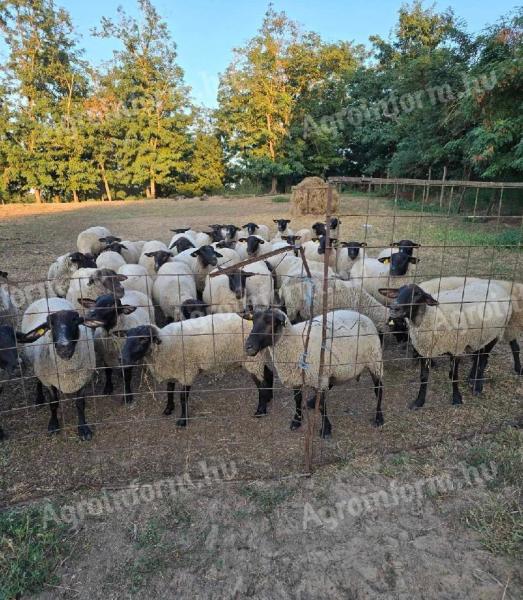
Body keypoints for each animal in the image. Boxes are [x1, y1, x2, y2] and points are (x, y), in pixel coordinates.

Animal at [19, 296, 97, 440]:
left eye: (75, 321)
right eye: (50, 325)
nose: (64, 347)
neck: (67, 370)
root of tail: (48, 297)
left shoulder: (83, 379)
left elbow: (80, 404)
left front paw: (83, 428)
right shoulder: (49, 382)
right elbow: (54, 403)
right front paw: (54, 424)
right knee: (37, 379)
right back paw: (39, 399)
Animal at [119, 314, 274, 426]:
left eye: (143, 339)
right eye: (126, 337)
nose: (122, 358)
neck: (165, 344)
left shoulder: (187, 372)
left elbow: (182, 397)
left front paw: (183, 420)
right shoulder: (171, 370)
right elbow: (169, 390)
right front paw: (168, 408)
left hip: (252, 361)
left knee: (262, 384)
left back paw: (261, 410)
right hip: (258, 358)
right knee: (269, 373)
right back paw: (269, 398)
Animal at [244, 310, 382, 436]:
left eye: (271, 322)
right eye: (253, 321)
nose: (248, 346)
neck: (295, 342)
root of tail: (362, 315)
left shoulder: (318, 378)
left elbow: (321, 405)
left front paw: (326, 429)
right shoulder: (296, 377)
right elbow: (297, 399)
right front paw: (296, 421)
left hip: (375, 360)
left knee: (379, 389)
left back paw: (379, 418)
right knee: (330, 385)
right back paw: (311, 402)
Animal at [380, 282, 512, 408]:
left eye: (417, 294)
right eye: (397, 293)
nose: (394, 308)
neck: (430, 317)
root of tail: (496, 285)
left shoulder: (456, 348)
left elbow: (454, 376)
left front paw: (457, 399)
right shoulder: (425, 351)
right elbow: (423, 377)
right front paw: (419, 402)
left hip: (495, 333)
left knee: (484, 358)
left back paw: (477, 385)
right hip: (479, 336)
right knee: (478, 355)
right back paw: (471, 378)